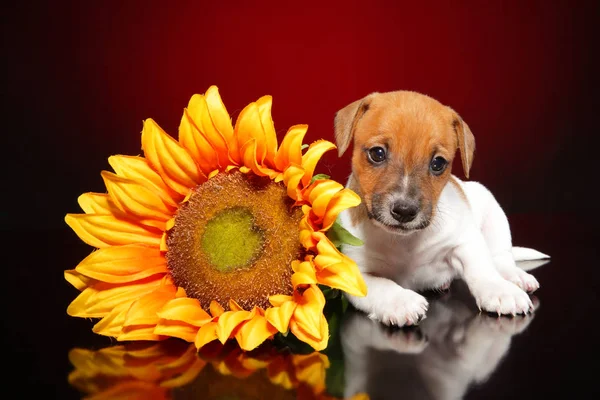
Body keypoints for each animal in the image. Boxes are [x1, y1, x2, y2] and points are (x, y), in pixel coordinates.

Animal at [336, 92, 552, 326]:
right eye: (377, 153)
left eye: (438, 163)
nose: (404, 211)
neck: (405, 241)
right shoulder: (354, 272)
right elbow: (381, 285)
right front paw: (400, 301)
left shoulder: (466, 241)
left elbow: (482, 269)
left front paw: (500, 291)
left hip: (495, 216)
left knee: (500, 257)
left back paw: (514, 276)